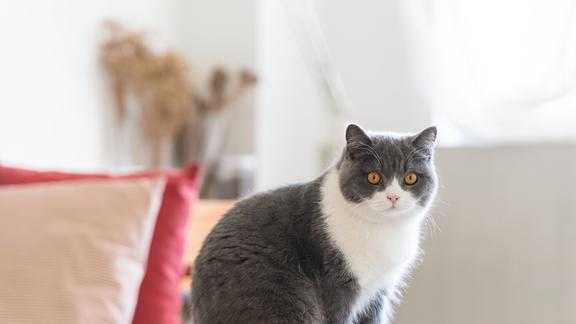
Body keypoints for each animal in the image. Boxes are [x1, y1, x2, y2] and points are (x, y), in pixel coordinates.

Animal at [191, 124, 438, 324]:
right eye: (374, 177)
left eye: (410, 178)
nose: (393, 197)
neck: (383, 230)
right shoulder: (337, 286)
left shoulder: (378, 292)